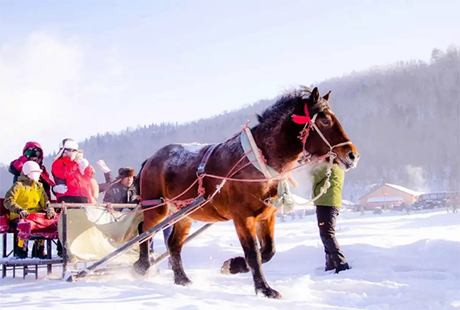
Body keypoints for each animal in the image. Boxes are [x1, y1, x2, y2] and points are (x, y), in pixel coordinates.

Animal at [135, 86, 362, 298]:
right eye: (325, 121)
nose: (352, 155)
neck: (260, 160)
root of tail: (151, 158)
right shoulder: (242, 217)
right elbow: (254, 254)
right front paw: (264, 289)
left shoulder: (266, 216)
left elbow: (268, 251)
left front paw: (233, 265)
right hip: (156, 208)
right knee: (144, 232)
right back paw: (142, 265)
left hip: (185, 214)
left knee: (174, 244)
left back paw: (181, 279)